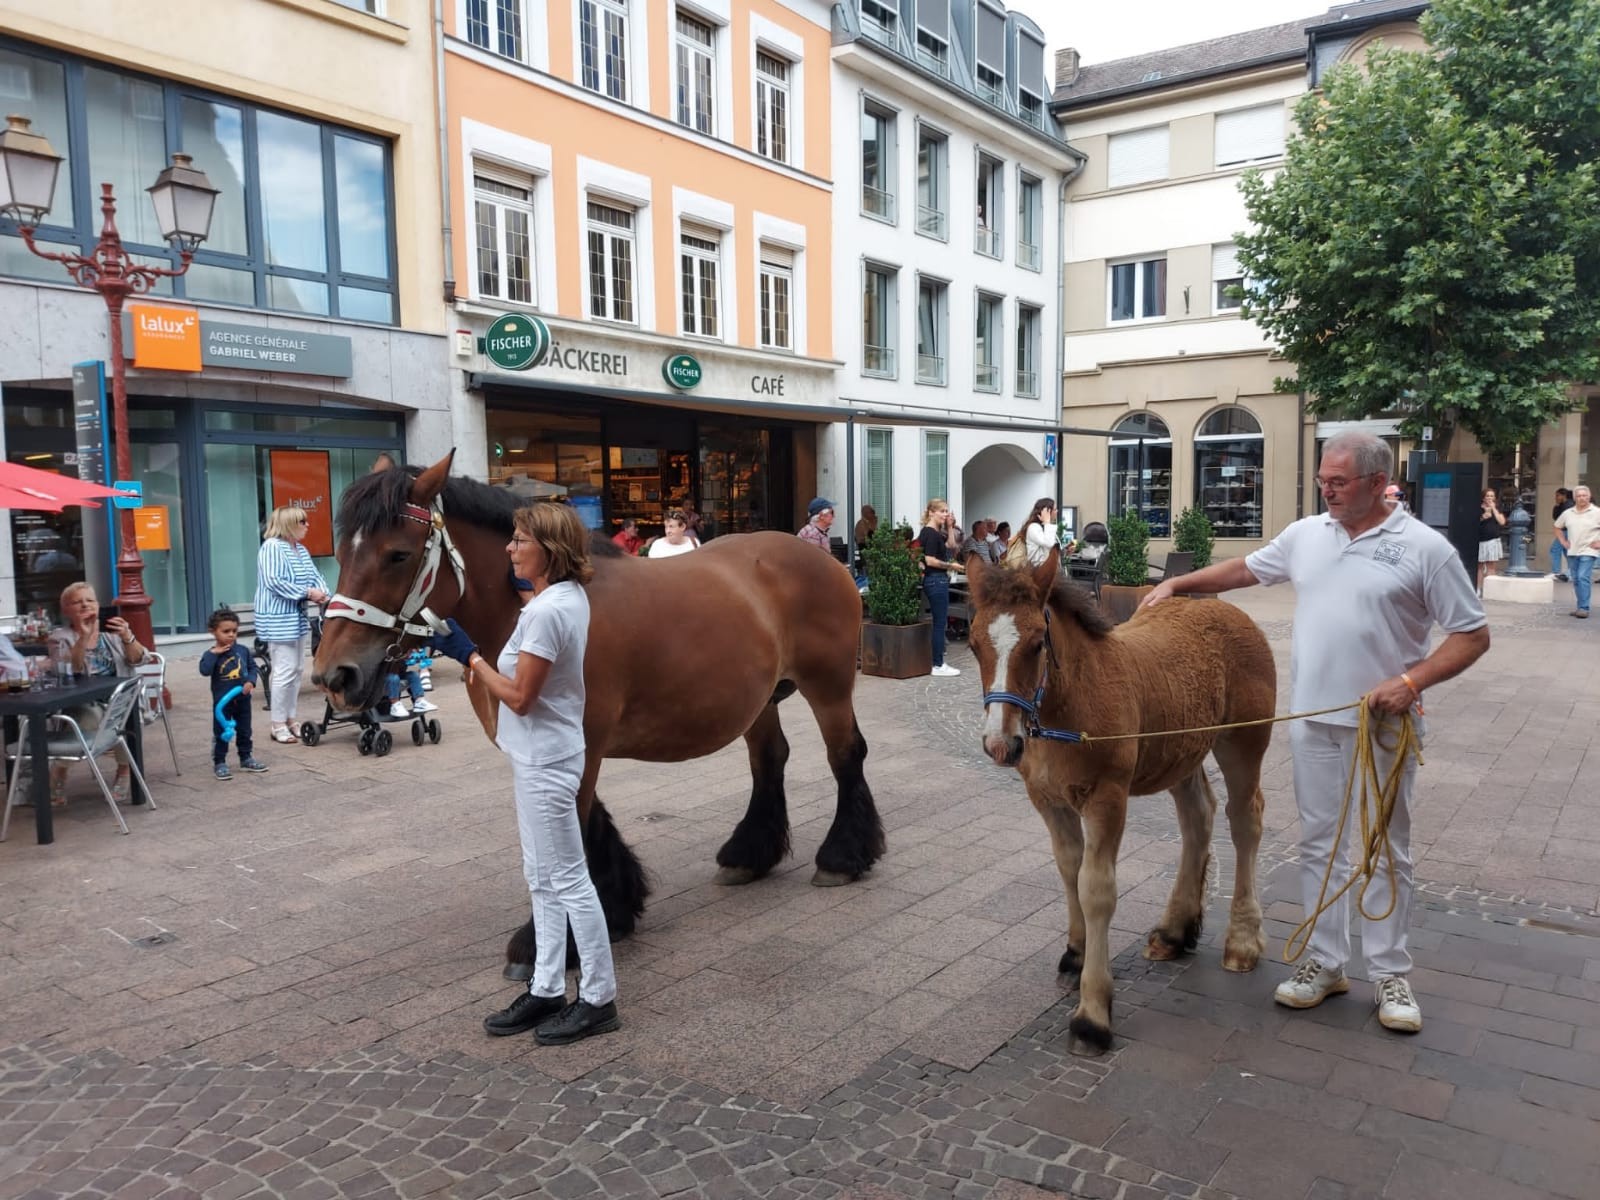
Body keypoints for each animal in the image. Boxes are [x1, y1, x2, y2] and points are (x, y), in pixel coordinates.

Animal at [315, 451, 889, 979]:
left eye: (397, 554)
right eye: (342, 552)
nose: (334, 675)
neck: (536, 605)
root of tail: (823, 557)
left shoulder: (582, 744)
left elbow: (571, 827)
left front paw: (549, 942)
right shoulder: (554, 746)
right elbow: (586, 822)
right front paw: (614, 907)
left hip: (829, 686)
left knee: (845, 755)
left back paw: (842, 856)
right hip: (759, 701)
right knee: (770, 759)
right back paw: (750, 852)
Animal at [960, 550, 1273, 1056]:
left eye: (1036, 644)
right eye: (971, 645)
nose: (1000, 744)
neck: (1067, 706)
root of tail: (1227, 610)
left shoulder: (1107, 799)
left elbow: (1096, 889)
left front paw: (1092, 1014)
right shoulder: (1048, 800)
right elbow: (1069, 869)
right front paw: (1076, 955)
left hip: (1244, 742)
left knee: (1245, 820)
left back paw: (1242, 942)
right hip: (1181, 749)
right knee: (1198, 816)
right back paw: (1174, 931)